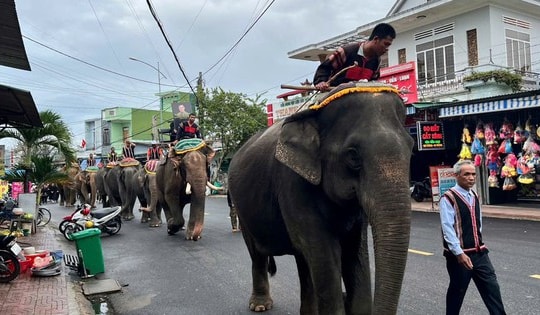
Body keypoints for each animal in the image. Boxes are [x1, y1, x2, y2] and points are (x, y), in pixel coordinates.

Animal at [228, 83, 414, 315]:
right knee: (258, 254)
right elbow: (324, 251)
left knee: (303, 260)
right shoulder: (292, 182)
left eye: (412, 148)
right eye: (353, 155)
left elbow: (355, 252)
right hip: (242, 208)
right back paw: (260, 305)